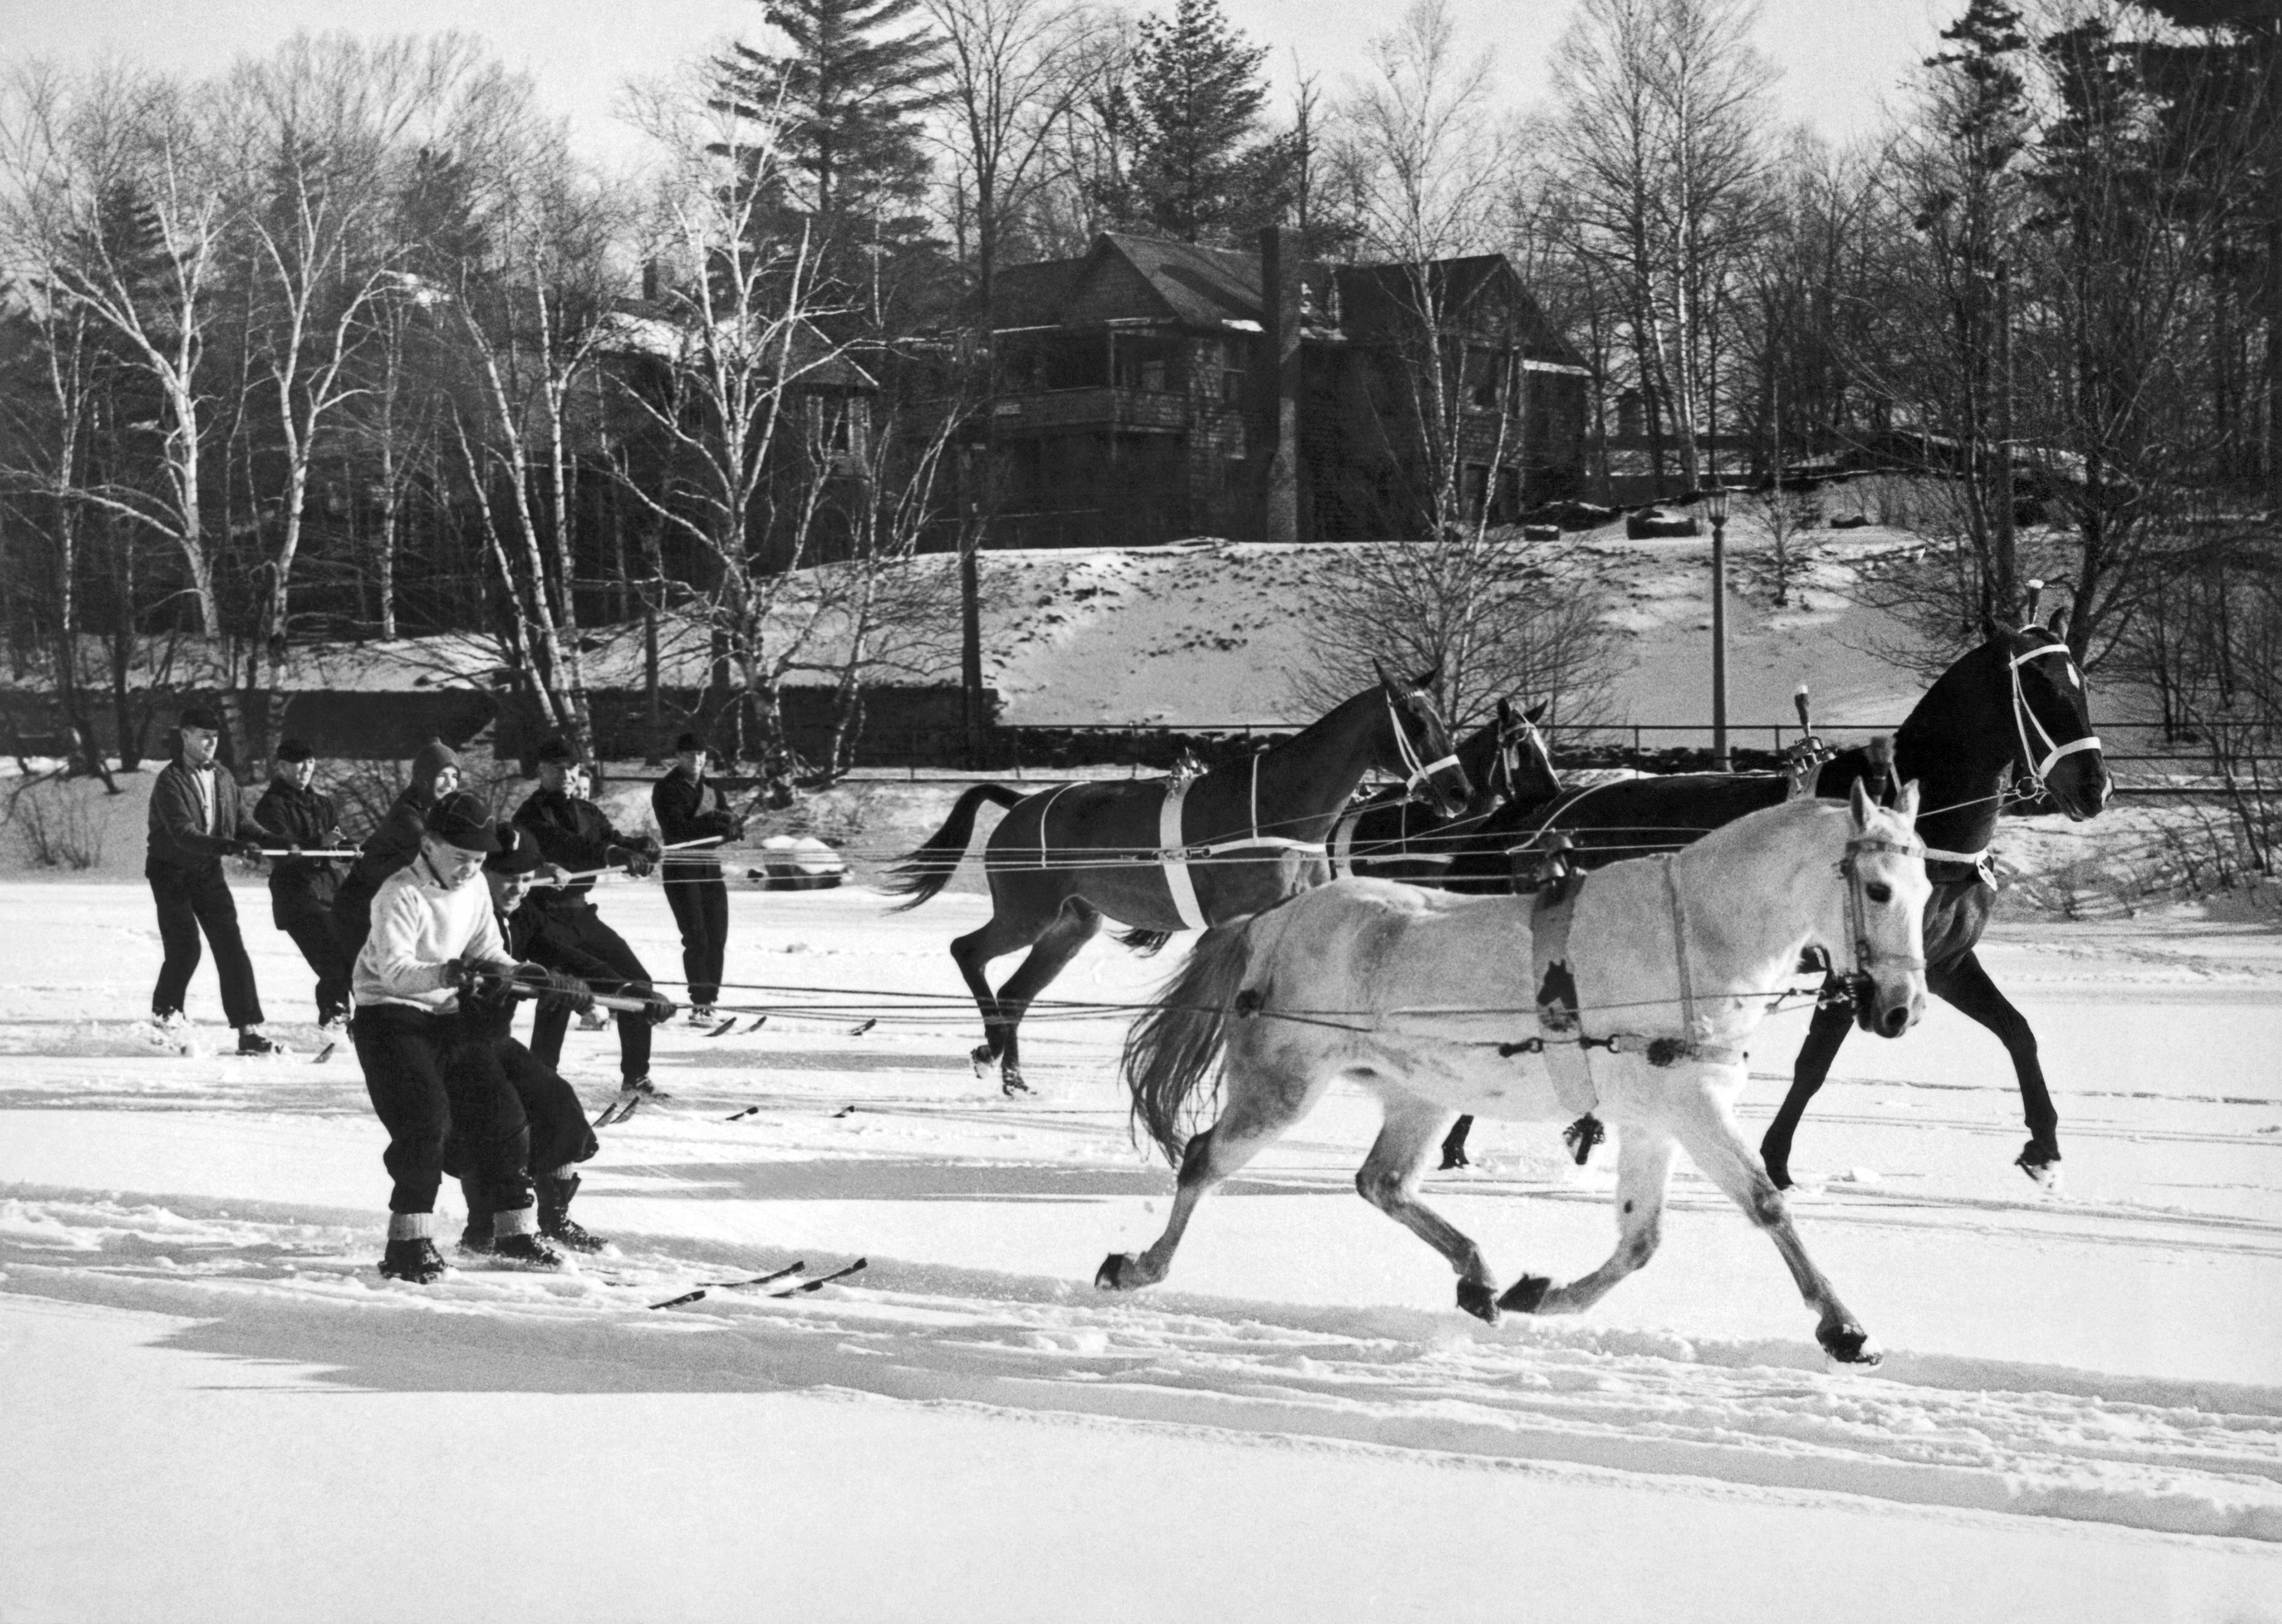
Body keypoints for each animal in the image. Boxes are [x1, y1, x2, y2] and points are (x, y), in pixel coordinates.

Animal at [882, 671, 1474, 1095]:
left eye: (1441, 719)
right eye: (1416, 722)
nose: (1460, 791)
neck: (1277, 811)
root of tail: (1021, 803)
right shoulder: (1234, 926)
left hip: (1072, 925)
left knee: (1014, 991)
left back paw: (1014, 1075)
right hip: (1027, 914)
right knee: (968, 951)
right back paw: (989, 1048)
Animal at [1098, 784, 1931, 1365]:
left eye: (1928, 891)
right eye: (1879, 888)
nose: (1902, 1009)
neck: (1696, 934)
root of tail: (1271, 923)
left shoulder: (1655, 1120)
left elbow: (1641, 1239)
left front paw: (1544, 1294)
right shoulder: (1693, 1108)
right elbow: (1766, 1204)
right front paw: (1844, 1328)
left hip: (1420, 1098)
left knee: (1383, 1183)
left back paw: (1480, 1280)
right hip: (1282, 1088)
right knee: (1204, 1159)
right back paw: (1136, 1266)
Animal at [1437, 609, 2109, 1187]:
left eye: (2081, 682)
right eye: (2039, 686)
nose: (2095, 786)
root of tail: (1536, 809)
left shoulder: (1941, 964)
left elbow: (2019, 1032)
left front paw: (2044, 1147)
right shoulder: (1855, 970)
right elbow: (1813, 1065)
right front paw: (1777, 1161)